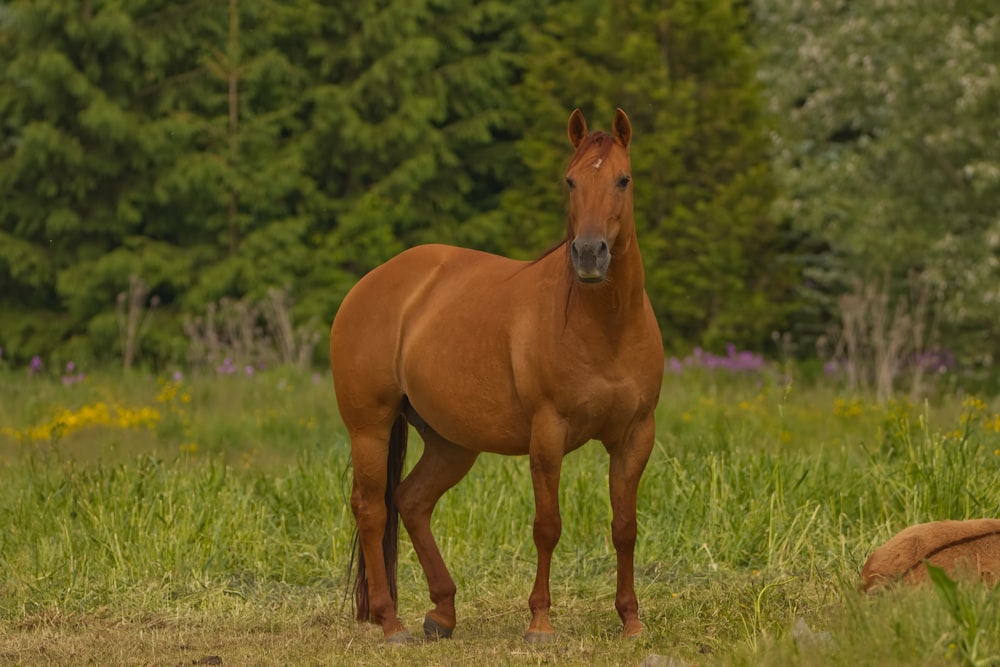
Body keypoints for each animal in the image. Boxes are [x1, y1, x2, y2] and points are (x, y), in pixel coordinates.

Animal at [328, 111, 668, 648]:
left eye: (623, 179)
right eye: (570, 181)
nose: (590, 255)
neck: (605, 327)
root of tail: (372, 282)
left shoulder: (635, 436)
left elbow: (625, 527)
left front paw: (631, 620)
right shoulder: (547, 436)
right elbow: (547, 526)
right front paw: (540, 623)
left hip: (450, 442)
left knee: (411, 501)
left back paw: (442, 613)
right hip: (371, 428)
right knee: (371, 508)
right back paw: (391, 622)